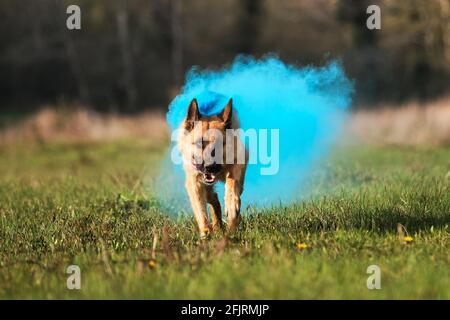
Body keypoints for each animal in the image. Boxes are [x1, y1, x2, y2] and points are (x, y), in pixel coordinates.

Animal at [177, 97, 248, 238]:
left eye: (220, 143)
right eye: (200, 143)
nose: (209, 167)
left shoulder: (239, 162)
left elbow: (232, 183)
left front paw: (231, 205)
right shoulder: (195, 182)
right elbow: (201, 211)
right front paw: (206, 234)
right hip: (205, 188)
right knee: (213, 198)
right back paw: (218, 227)